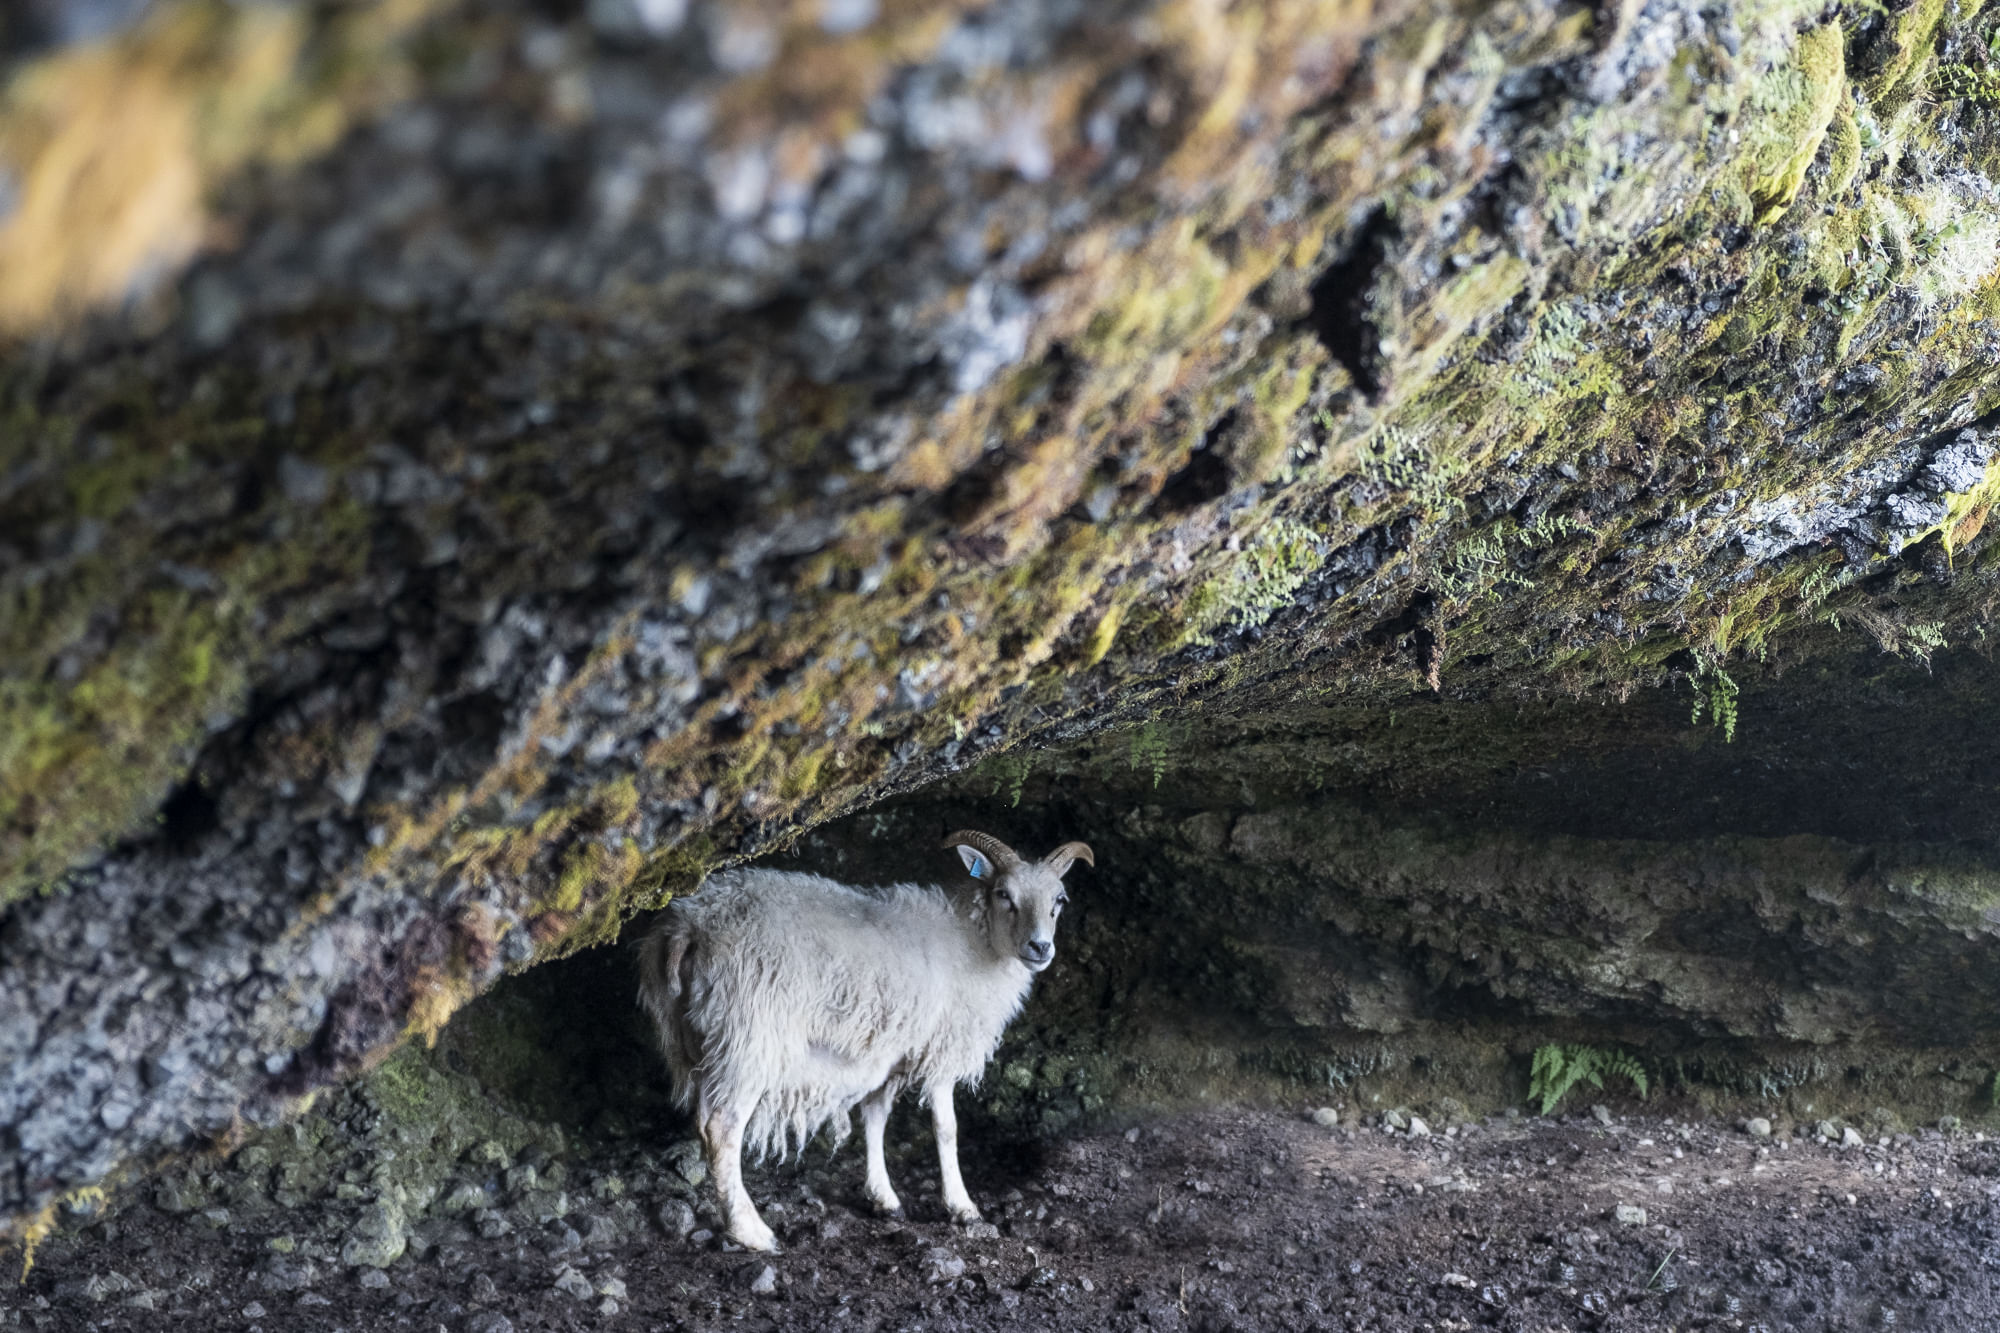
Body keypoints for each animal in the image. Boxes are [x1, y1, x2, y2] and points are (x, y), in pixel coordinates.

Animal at [637, 829, 1093, 1253]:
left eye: (1060, 900)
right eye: (1003, 894)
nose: (1040, 947)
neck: (973, 939)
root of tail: (691, 924)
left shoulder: (888, 1053)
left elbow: (875, 1118)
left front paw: (883, 1197)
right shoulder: (941, 1048)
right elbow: (946, 1128)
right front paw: (962, 1206)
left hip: (696, 1038)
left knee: (704, 1120)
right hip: (749, 1037)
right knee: (722, 1127)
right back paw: (750, 1230)